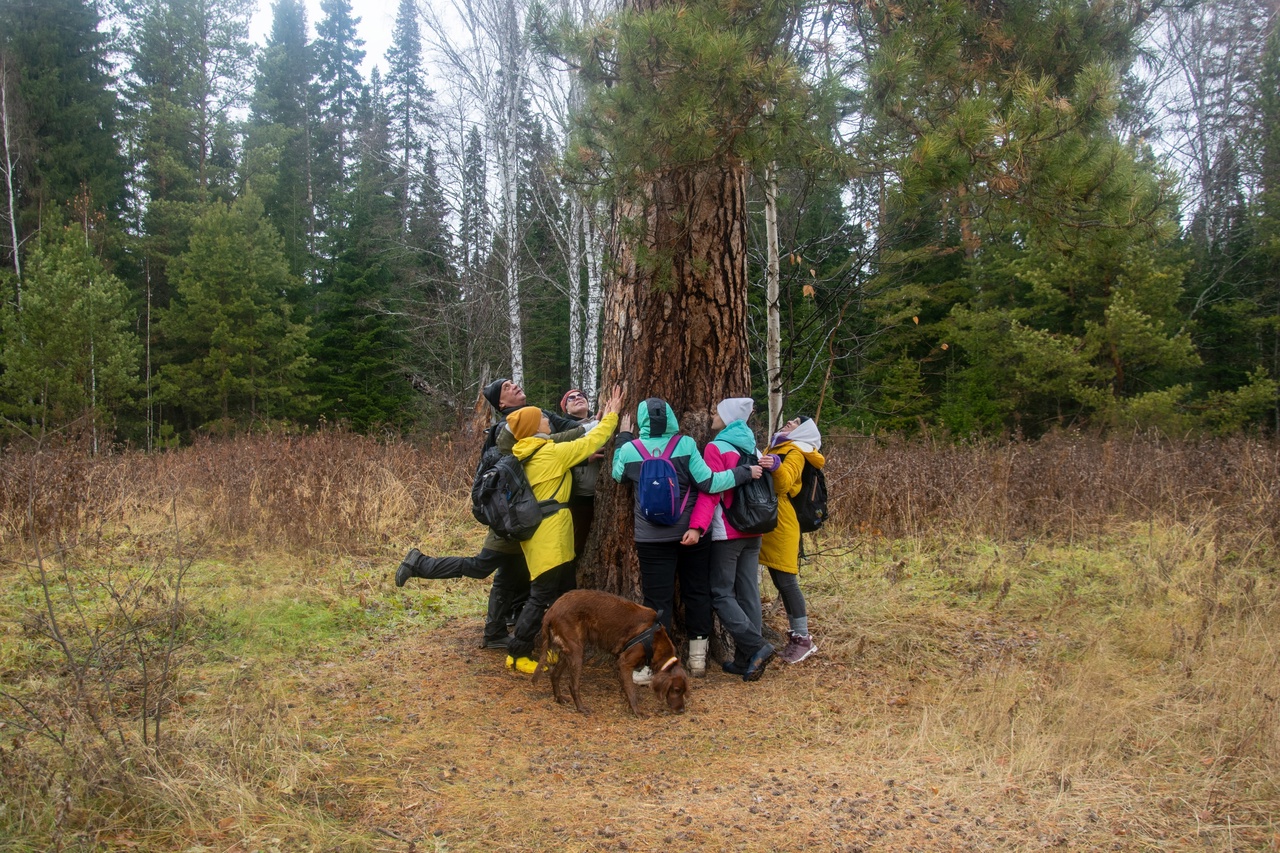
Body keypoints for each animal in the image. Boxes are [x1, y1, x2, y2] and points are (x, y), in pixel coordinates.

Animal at [532, 589, 691, 712]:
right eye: (676, 690)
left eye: (683, 691)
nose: (681, 710)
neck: (655, 640)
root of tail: (551, 610)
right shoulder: (624, 662)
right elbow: (631, 691)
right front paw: (637, 711)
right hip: (576, 651)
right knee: (573, 685)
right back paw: (581, 708)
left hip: (568, 651)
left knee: (554, 674)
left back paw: (559, 698)